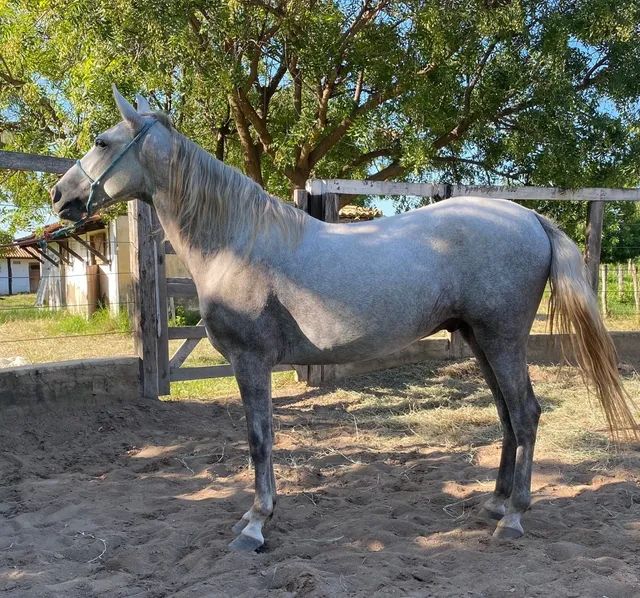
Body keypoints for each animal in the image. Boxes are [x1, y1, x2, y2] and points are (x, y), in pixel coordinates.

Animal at [50, 86, 636, 556]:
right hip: (479, 339)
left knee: (527, 414)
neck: (238, 241)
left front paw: (255, 524)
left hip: (502, 338)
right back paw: (494, 504)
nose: (60, 195)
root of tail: (530, 216)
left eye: (102, 141)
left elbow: (259, 438)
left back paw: (513, 517)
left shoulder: (250, 361)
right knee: (508, 417)